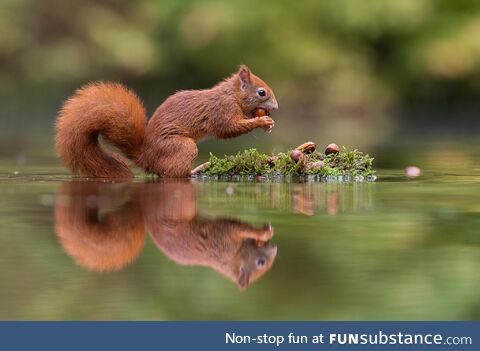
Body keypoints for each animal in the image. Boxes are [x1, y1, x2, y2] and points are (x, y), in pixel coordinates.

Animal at [57, 64, 278, 179]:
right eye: (261, 92)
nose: (276, 107)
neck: (232, 95)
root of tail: (146, 157)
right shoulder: (222, 110)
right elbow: (228, 129)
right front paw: (262, 121)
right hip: (181, 147)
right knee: (174, 174)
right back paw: (197, 170)